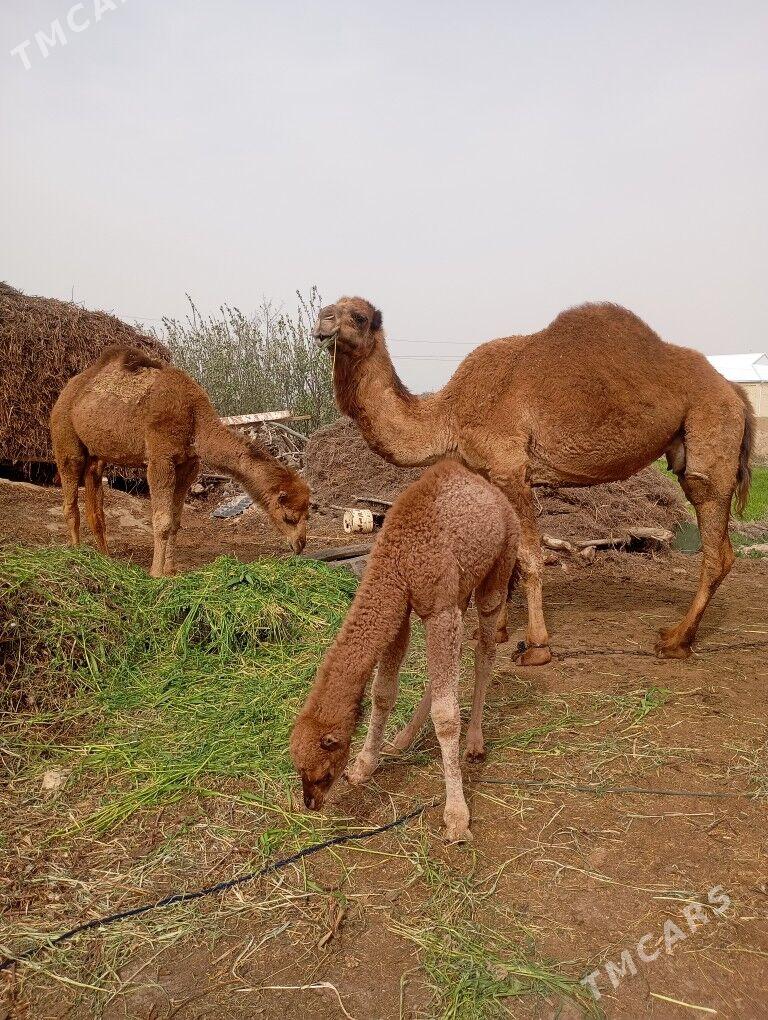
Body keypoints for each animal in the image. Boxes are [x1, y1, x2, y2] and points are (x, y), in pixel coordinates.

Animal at [50, 346, 310, 576]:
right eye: (289, 517)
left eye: (308, 513)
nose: (300, 545)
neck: (195, 418)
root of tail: (67, 390)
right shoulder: (160, 459)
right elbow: (162, 521)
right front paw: (156, 573)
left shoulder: (188, 465)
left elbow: (175, 522)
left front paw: (171, 570)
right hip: (65, 438)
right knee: (70, 494)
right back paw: (76, 555)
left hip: (97, 454)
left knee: (95, 498)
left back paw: (105, 559)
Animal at [290, 459, 519, 842]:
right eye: (298, 769)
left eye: (321, 773)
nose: (310, 803)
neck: (397, 558)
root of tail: (497, 495)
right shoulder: (402, 610)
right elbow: (383, 692)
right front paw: (364, 766)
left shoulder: (438, 610)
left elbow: (446, 715)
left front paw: (457, 817)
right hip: (459, 591)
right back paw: (403, 739)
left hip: (500, 565)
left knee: (484, 650)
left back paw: (474, 744)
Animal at [313, 298, 754, 664]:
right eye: (331, 306)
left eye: (359, 316)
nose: (322, 320)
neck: (450, 414)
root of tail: (734, 390)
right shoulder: (490, 475)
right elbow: (504, 557)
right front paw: (495, 632)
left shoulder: (511, 470)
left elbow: (528, 556)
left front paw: (537, 645)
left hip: (710, 434)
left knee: (715, 543)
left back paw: (675, 640)